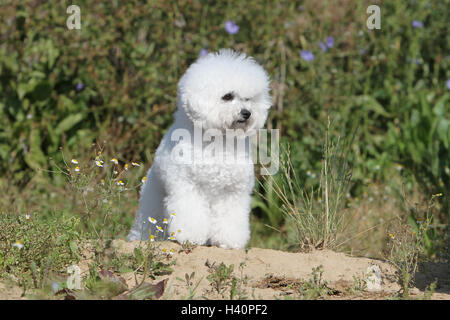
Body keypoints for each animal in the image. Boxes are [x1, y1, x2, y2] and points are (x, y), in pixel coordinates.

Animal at [128, 49, 272, 250]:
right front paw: (190, 237)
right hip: (152, 207)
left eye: (248, 99)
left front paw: (229, 241)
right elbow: (191, 215)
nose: (247, 113)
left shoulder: (232, 192)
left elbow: (230, 218)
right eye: (227, 96)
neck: (217, 141)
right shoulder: (188, 187)